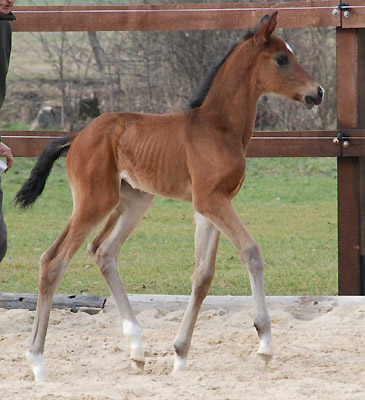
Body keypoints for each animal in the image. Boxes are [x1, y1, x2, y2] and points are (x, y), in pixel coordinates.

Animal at [14, 13, 322, 382]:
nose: (318, 92)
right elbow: (251, 251)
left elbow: (203, 275)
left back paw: (136, 349)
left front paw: (180, 355)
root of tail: (76, 137)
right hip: (94, 202)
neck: (219, 127)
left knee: (102, 251)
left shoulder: (212, 205)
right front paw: (264, 343)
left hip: (133, 202)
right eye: (281, 59)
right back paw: (37, 360)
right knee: (54, 261)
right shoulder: (211, 201)